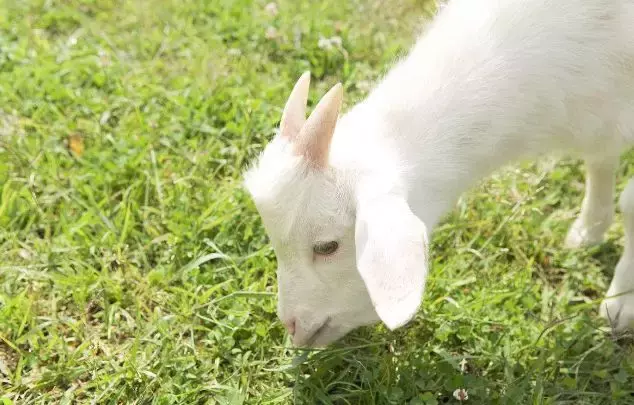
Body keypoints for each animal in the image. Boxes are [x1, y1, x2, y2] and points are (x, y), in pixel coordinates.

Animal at [241, 0, 632, 348]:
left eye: (327, 246)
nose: (292, 326)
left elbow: (628, 202)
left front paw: (622, 302)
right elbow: (600, 157)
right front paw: (590, 229)